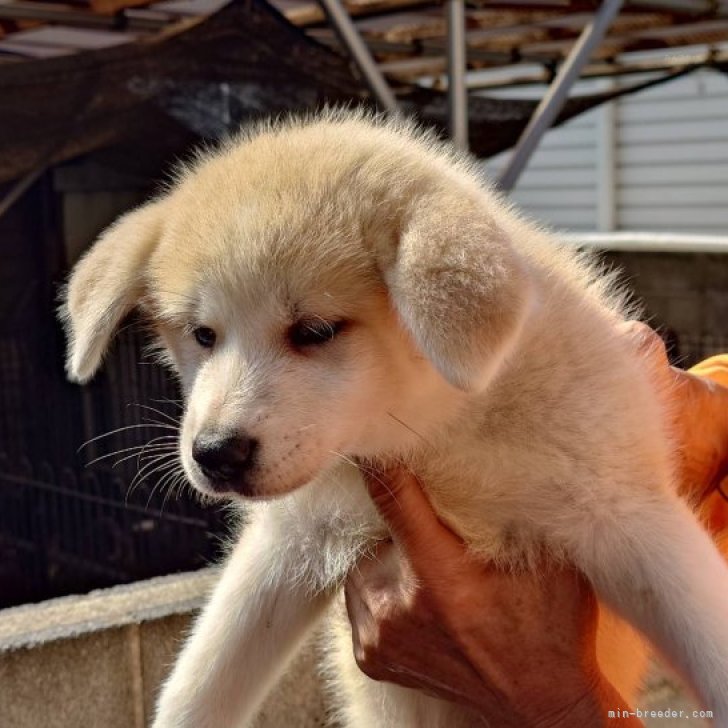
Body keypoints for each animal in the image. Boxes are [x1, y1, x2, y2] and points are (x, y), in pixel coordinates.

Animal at [61, 109, 728, 728]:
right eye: (202, 334)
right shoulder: (292, 540)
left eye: (315, 331)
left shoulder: (626, 517)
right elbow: (201, 683)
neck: (437, 443)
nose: (216, 454)